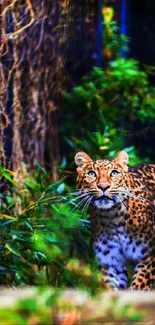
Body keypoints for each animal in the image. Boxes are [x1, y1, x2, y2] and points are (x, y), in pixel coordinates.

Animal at [74, 151, 154, 290]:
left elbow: (139, 285)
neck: (112, 217)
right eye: (91, 174)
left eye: (114, 173)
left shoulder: (149, 255)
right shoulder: (111, 260)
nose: (103, 186)